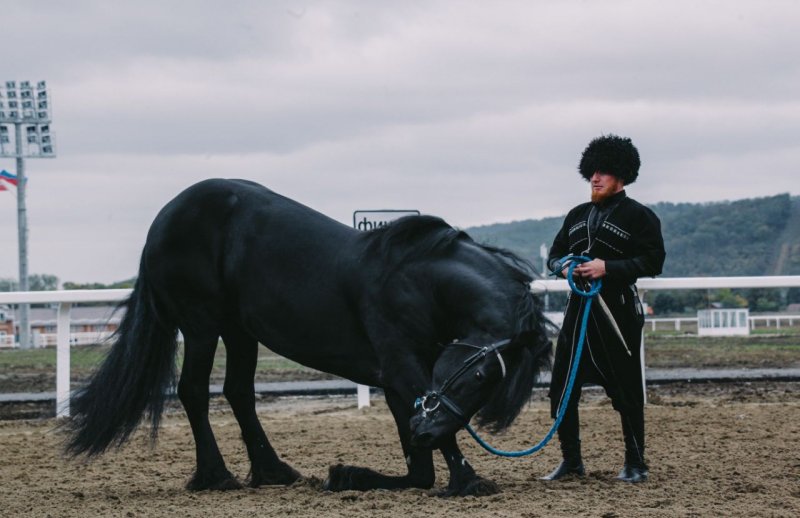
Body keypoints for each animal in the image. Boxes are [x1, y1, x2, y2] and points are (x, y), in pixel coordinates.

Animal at [64, 180, 552, 500]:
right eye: (482, 374)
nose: (425, 431)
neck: (417, 281)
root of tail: (164, 218)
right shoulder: (402, 369)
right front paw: (470, 481)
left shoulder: (402, 383)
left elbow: (418, 472)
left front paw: (348, 474)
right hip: (202, 326)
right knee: (194, 392)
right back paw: (216, 475)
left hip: (239, 331)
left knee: (238, 392)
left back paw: (272, 471)